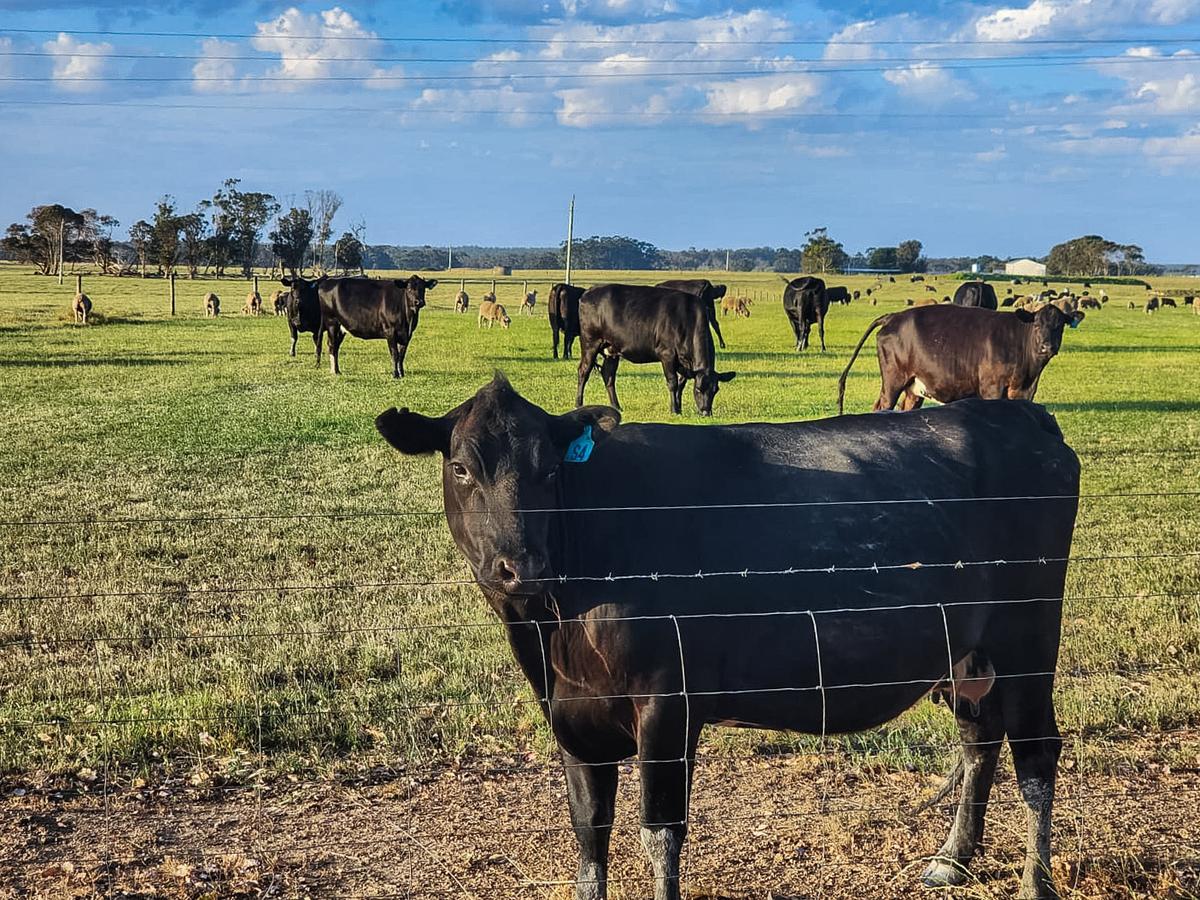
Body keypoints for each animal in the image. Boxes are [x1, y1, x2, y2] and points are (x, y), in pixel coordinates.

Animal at [375, 374, 1080, 900]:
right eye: (461, 468)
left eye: (549, 471)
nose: (521, 564)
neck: (553, 634)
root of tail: (1021, 415)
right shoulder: (573, 716)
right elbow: (589, 833)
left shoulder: (668, 701)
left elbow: (659, 833)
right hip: (969, 651)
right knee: (980, 740)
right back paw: (952, 860)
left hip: (1029, 634)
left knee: (1036, 756)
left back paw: (1035, 883)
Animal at [576, 284, 735, 416]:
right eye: (698, 389)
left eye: (715, 390)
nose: (706, 412)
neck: (688, 318)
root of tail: (589, 292)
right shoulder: (667, 355)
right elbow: (673, 382)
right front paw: (674, 410)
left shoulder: (686, 363)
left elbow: (681, 384)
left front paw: (679, 407)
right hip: (590, 343)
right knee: (584, 371)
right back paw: (579, 404)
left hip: (612, 350)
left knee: (608, 375)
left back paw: (616, 406)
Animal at [837, 304, 1084, 415]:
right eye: (1037, 324)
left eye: (1059, 325)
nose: (1047, 346)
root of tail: (894, 316)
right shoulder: (991, 388)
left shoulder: (1024, 392)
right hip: (893, 379)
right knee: (882, 406)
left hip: (913, 387)